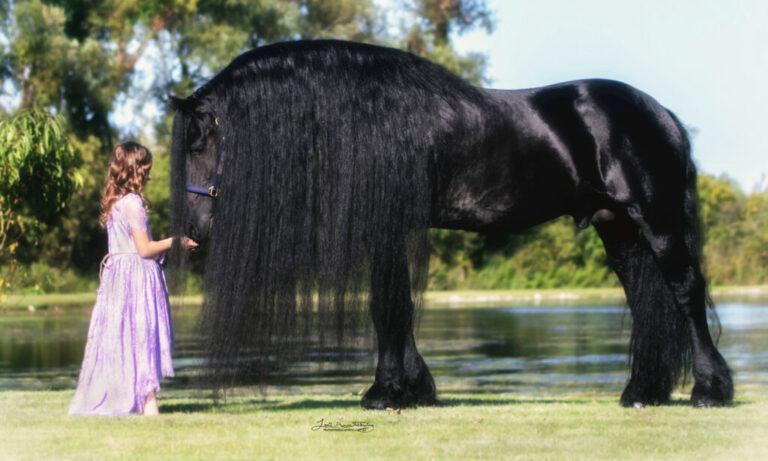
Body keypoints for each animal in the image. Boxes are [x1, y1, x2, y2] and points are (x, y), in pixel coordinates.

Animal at [168, 38, 732, 406]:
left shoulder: (388, 228)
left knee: (685, 291)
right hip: (617, 228)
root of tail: (660, 113)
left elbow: (388, 306)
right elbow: (393, 306)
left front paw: (385, 392)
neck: (371, 117)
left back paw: (709, 390)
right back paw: (641, 392)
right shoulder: (389, 232)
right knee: (645, 298)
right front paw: (413, 388)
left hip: (654, 220)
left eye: (198, 143)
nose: (193, 231)